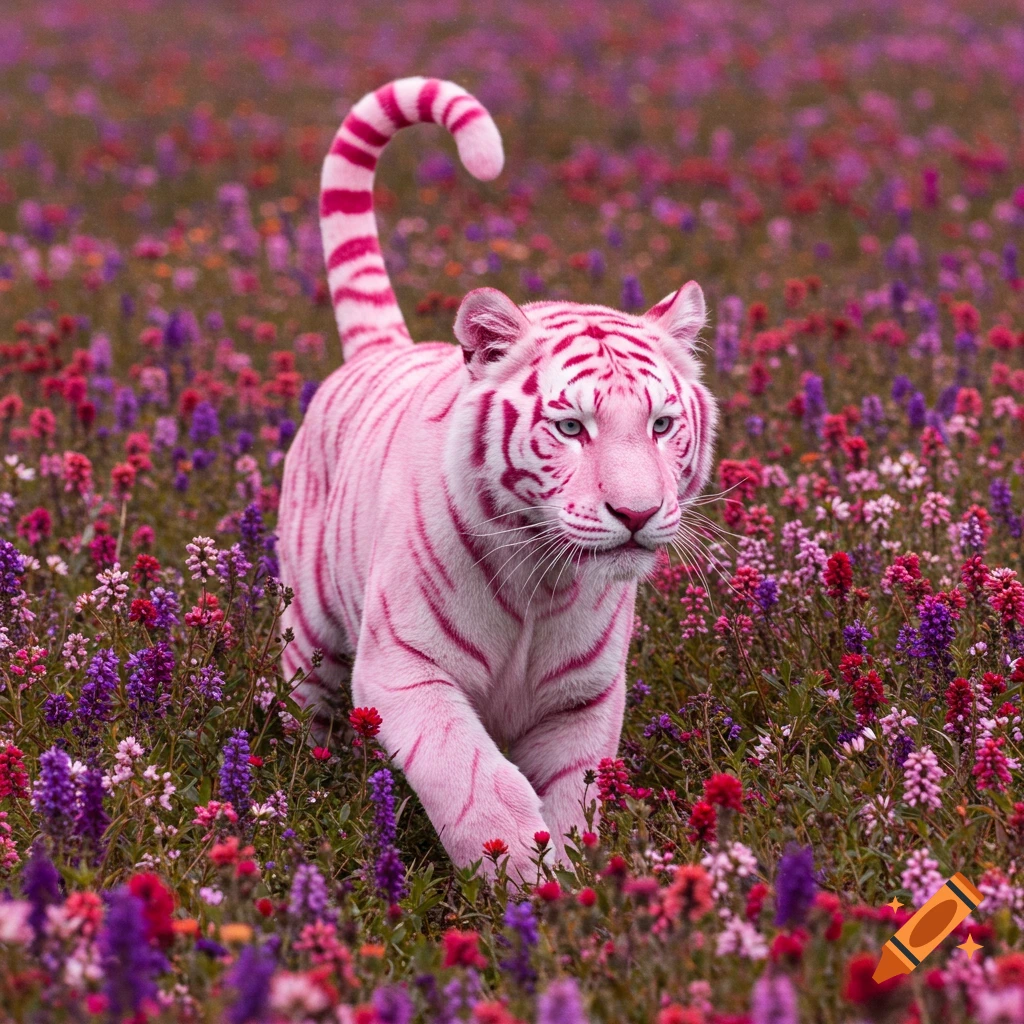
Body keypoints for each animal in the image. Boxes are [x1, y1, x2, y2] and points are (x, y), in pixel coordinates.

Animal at [277, 76, 718, 880]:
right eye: (572, 428)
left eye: (662, 425)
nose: (638, 513)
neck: (546, 581)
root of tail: (382, 348)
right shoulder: (407, 671)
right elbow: (473, 776)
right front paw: (516, 872)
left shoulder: (582, 699)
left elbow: (575, 795)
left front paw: (570, 878)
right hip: (312, 637)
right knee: (310, 717)